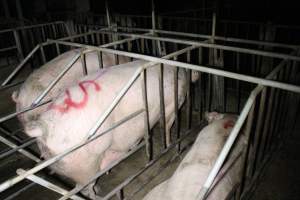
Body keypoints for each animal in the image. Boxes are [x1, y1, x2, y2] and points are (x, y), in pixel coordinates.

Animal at [24, 60, 190, 199]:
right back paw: (98, 194)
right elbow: (166, 126)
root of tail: (44, 127)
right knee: (84, 187)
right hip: (85, 164)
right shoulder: (171, 105)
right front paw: (170, 144)